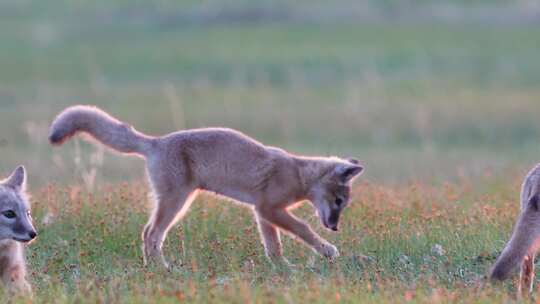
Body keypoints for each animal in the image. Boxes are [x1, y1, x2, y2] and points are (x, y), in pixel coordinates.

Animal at [49, 105, 362, 270]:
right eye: (338, 201)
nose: (335, 227)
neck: (297, 172)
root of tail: (156, 141)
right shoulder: (270, 208)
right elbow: (303, 229)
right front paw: (326, 250)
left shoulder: (262, 213)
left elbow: (273, 247)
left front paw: (283, 268)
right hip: (176, 203)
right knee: (150, 233)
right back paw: (161, 269)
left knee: (150, 234)